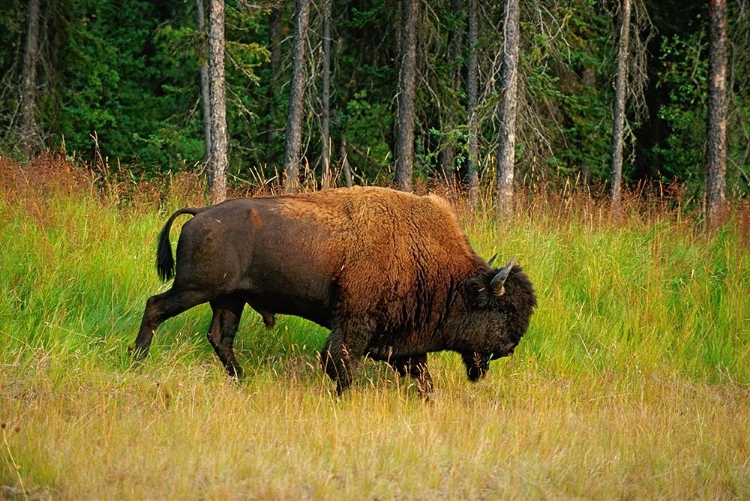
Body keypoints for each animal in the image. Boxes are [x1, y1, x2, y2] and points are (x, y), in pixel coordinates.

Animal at [132, 186, 536, 392]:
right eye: (503, 310)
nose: (509, 348)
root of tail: (200, 213)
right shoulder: (355, 323)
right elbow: (339, 363)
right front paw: (343, 396)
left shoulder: (402, 339)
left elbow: (422, 375)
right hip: (195, 289)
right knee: (155, 306)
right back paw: (136, 359)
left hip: (229, 299)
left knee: (220, 337)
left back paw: (242, 380)